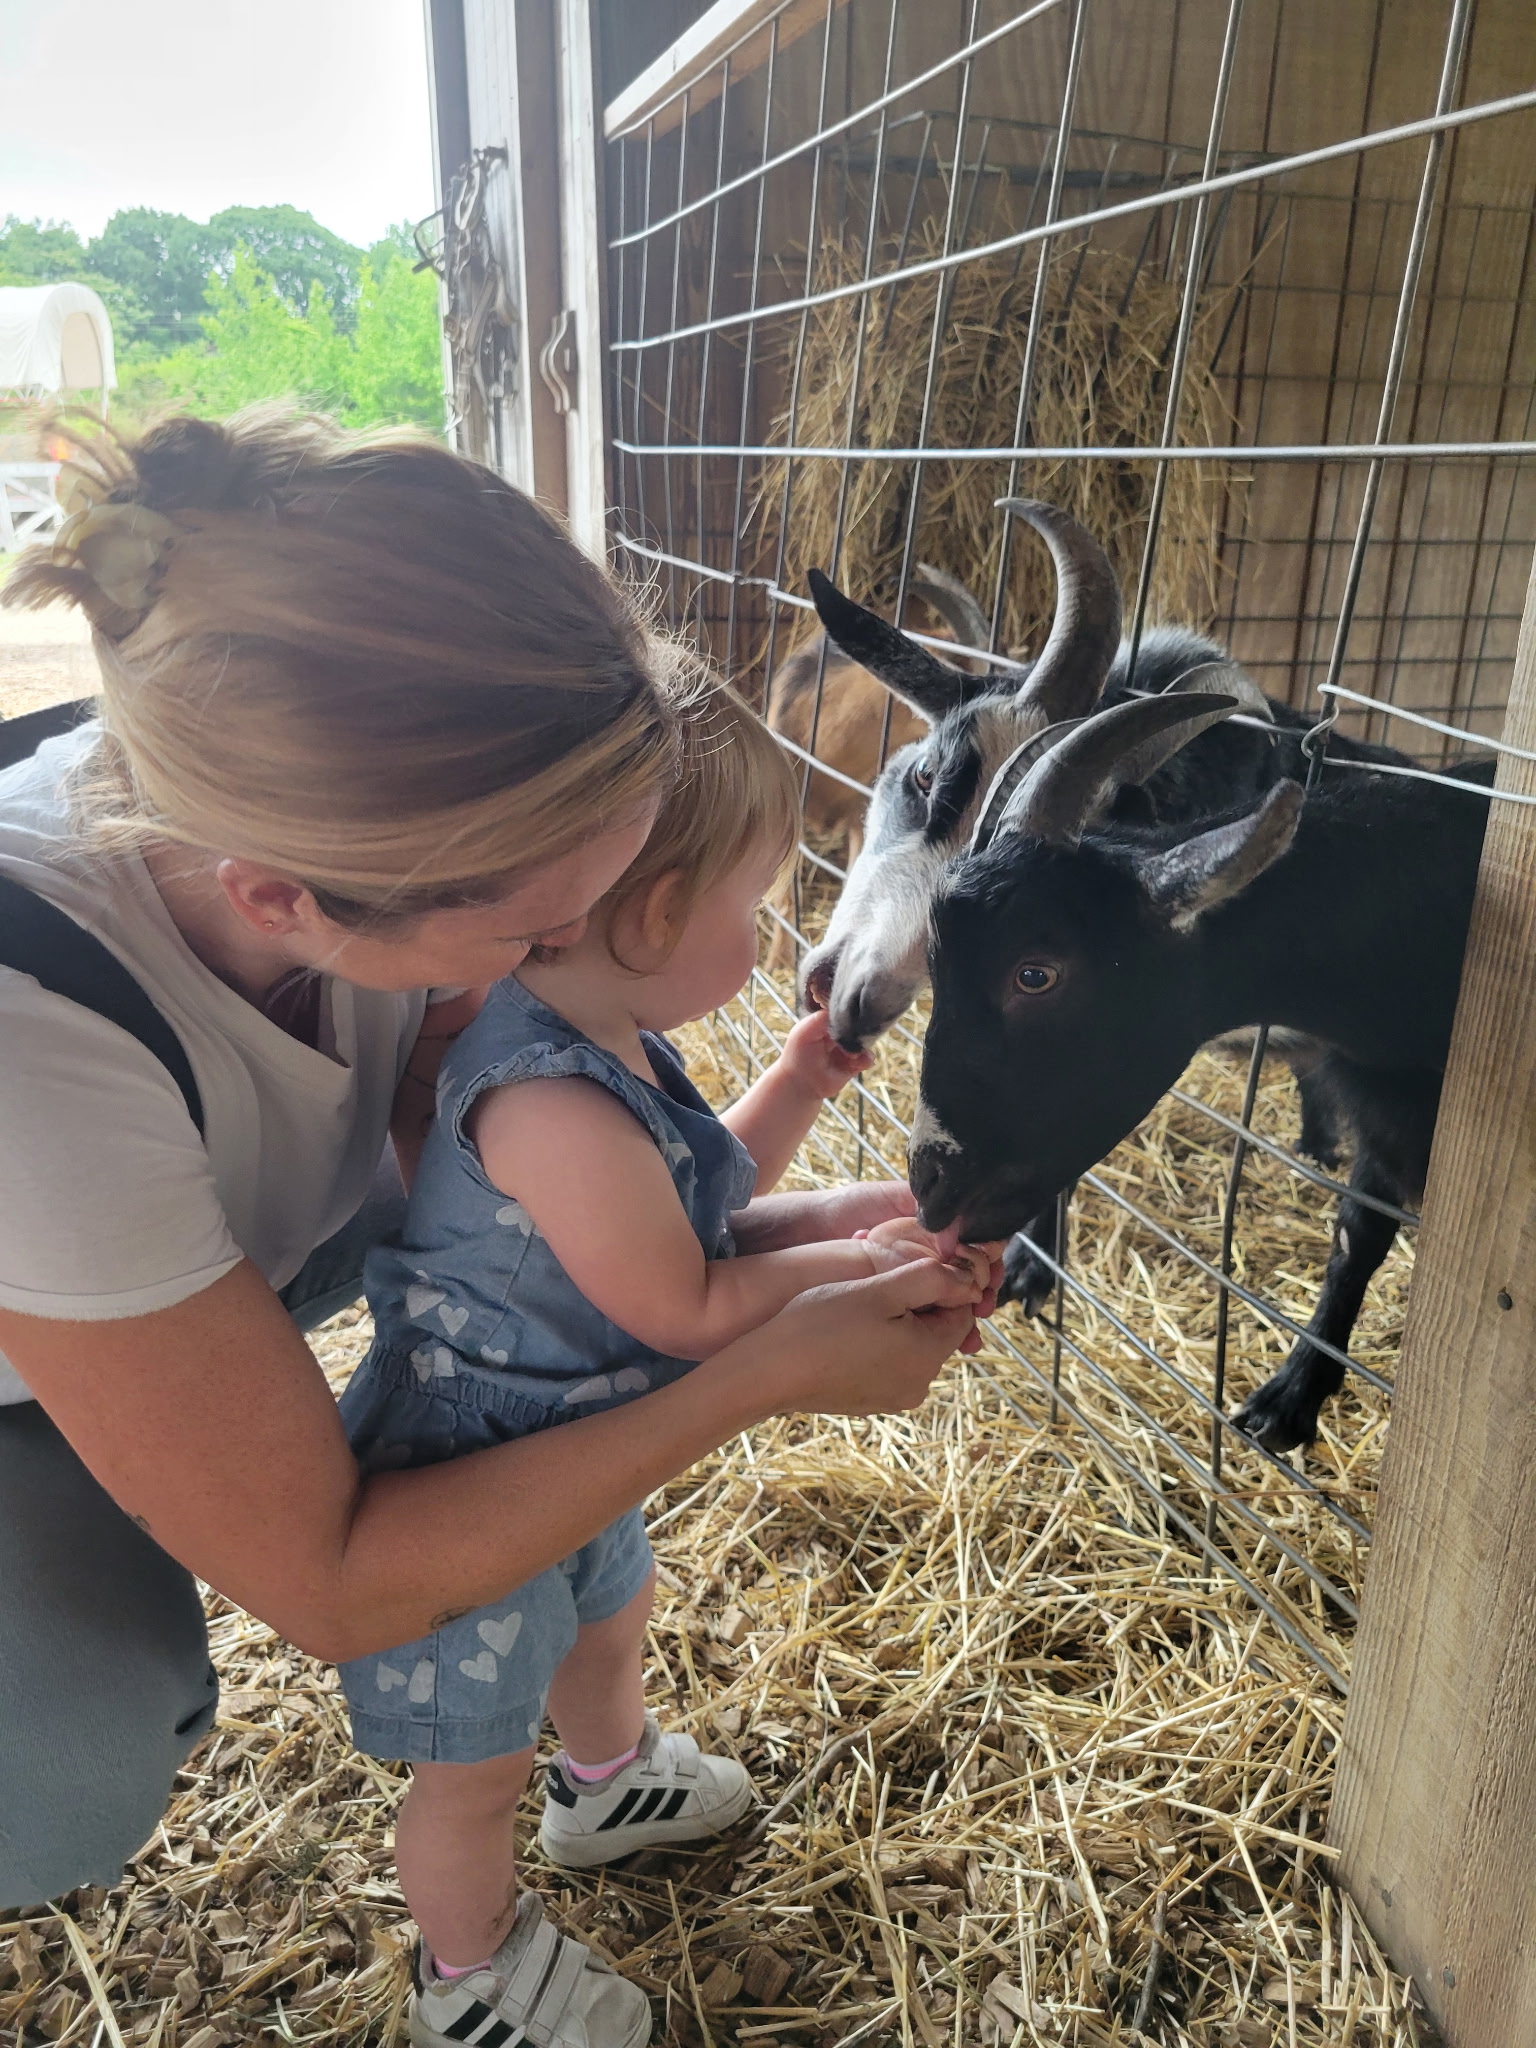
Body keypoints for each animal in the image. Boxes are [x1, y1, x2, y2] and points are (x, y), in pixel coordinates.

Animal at [908, 690, 1492, 1452]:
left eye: (1034, 974)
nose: (926, 1184)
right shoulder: (1383, 1115)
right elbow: (1354, 1237)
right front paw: (1295, 1392)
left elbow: (1357, 1238)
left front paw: (1288, 1398)